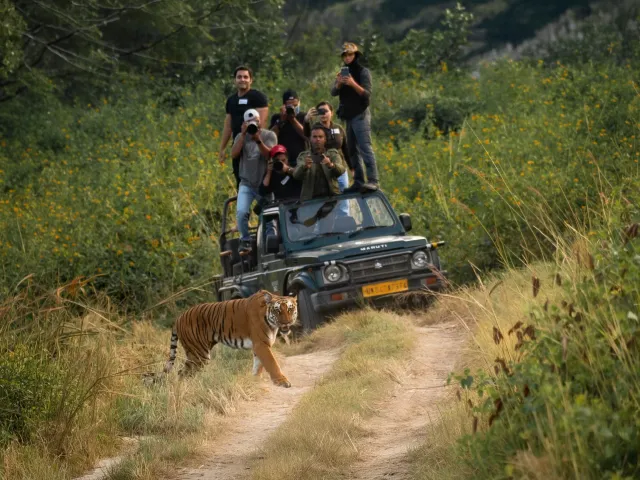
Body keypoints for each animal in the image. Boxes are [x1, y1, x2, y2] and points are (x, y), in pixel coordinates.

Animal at [163, 290, 298, 388]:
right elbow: (272, 363)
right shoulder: (261, 344)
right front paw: (282, 382)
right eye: (277, 310)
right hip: (199, 354)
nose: (287, 322)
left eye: (290, 309)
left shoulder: (260, 345)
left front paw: (255, 382)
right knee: (182, 373)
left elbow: (258, 365)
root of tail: (178, 318)